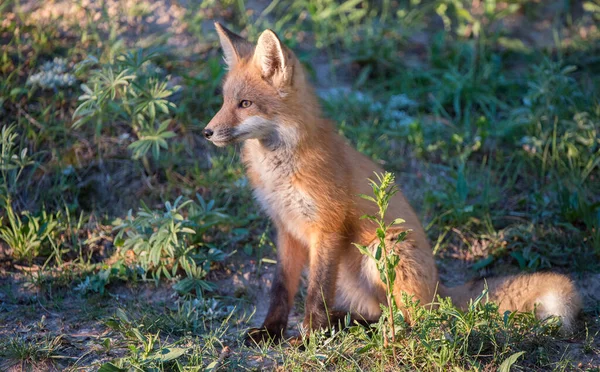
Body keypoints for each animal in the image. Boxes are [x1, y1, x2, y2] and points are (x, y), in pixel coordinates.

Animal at [203, 23, 580, 342]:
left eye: (245, 103)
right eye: (224, 101)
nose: (206, 132)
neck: (280, 171)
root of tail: (438, 289)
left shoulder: (327, 227)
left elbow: (316, 293)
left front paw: (309, 339)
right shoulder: (287, 230)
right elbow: (281, 289)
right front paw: (271, 332)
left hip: (383, 250)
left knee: (419, 322)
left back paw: (367, 332)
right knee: (385, 313)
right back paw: (349, 325)